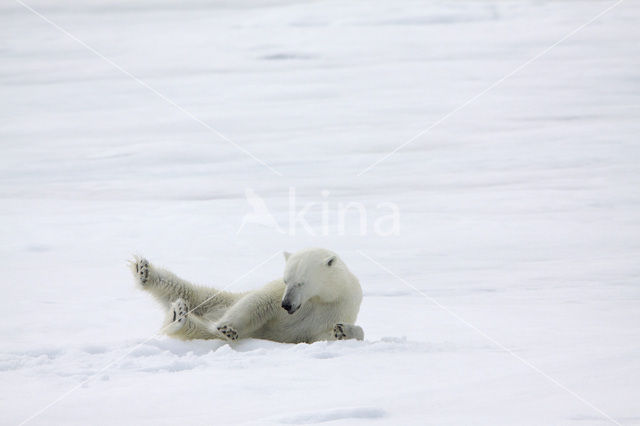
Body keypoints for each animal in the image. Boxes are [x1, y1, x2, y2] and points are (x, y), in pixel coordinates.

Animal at [129, 248, 364, 344]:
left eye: (301, 282)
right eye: (286, 280)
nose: (286, 305)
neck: (323, 298)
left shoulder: (335, 309)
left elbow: (319, 336)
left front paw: (343, 330)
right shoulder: (277, 292)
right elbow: (259, 302)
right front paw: (227, 328)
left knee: (197, 321)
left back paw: (178, 316)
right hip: (223, 300)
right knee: (193, 293)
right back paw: (145, 272)